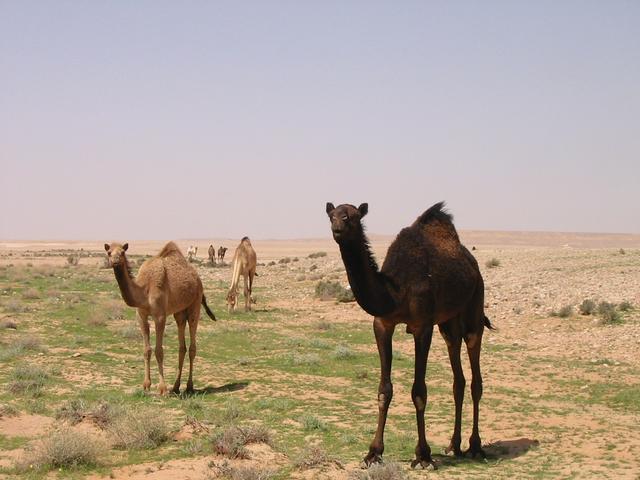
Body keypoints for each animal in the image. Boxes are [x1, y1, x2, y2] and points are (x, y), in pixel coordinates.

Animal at [104, 242, 216, 396]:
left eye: (122, 252)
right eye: (109, 252)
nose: (114, 261)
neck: (144, 290)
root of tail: (197, 278)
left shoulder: (160, 316)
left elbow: (159, 351)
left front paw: (162, 388)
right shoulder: (141, 316)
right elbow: (147, 350)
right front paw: (146, 385)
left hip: (195, 303)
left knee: (192, 344)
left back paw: (189, 386)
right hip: (179, 312)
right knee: (182, 345)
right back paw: (175, 387)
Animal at [328, 200, 492, 468]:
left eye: (352, 216)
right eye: (331, 215)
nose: (338, 229)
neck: (395, 291)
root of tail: (473, 264)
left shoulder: (422, 327)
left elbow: (419, 391)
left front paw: (423, 455)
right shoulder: (382, 324)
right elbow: (384, 390)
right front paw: (373, 453)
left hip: (475, 304)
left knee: (475, 372)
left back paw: (475, 447)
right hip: (448, 323)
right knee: (457, 377)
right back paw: (453, 445)